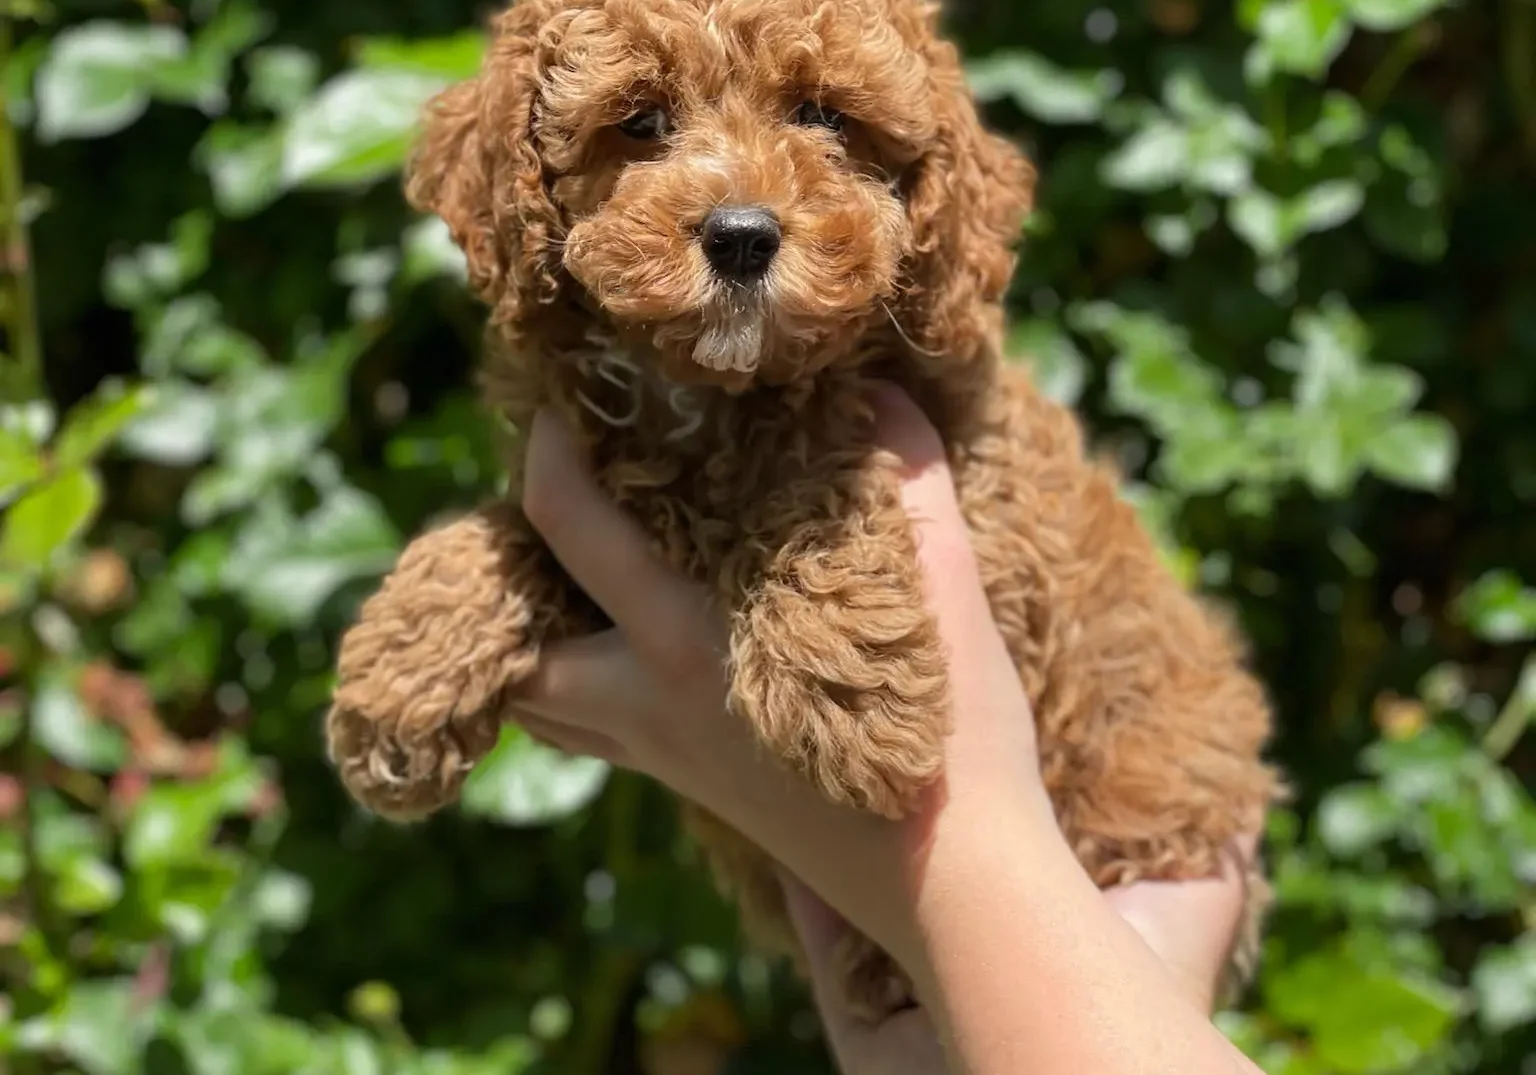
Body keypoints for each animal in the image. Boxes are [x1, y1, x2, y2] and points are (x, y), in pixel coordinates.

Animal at [327, 0, 1284, 1019]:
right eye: (639, 121)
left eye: (825, 116)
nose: (742, 235)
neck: (712, 389)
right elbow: (509, 532)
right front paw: (400, 677)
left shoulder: (997, 522)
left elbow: (816, 468)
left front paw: (851, 699)